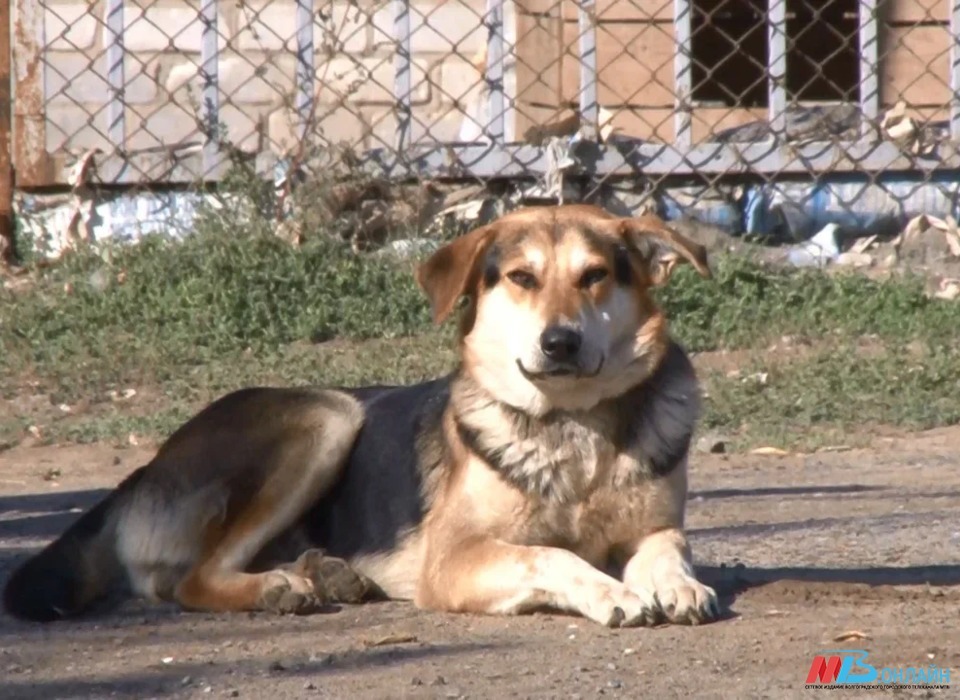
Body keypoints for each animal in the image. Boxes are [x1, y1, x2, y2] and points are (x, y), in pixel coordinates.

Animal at [1, 205, 720, 628]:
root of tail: (143, 473)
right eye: (521, 277)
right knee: (188, 581)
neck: (573, 427)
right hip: (327, 415)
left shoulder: (656, 525)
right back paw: (278, 588)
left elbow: (670, 547)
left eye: (595, 275)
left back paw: (327, 573)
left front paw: (675, 584)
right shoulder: (454, 558)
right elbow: (551, 556)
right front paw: (611, 591)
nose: (561, 343)